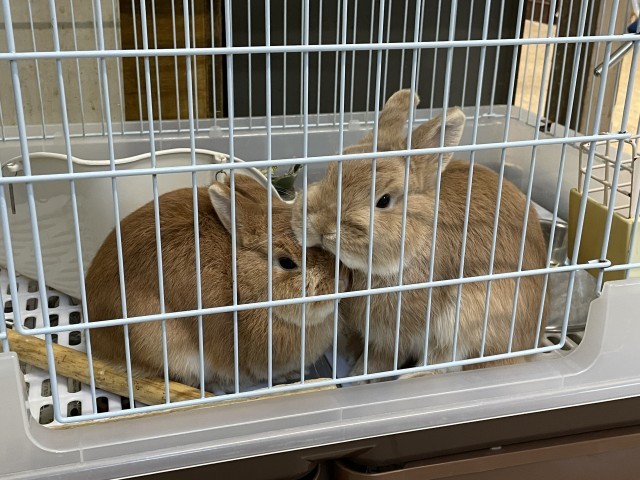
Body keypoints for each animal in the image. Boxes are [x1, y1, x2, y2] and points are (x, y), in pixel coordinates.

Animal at [291, 89, 549, 382]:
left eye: (384, 200)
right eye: (331, 171)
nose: (320, 226)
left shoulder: (396, 335)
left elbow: (383, 357)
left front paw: (363, 375)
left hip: (474, 315)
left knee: (446, 362)